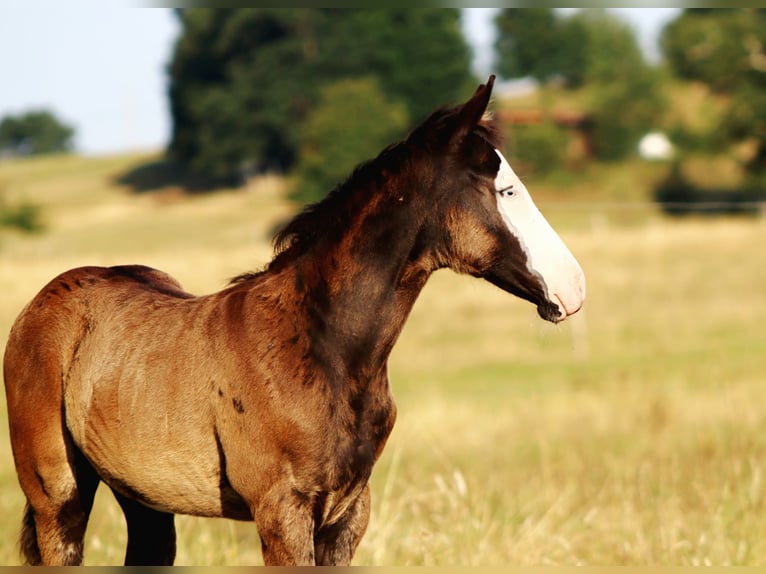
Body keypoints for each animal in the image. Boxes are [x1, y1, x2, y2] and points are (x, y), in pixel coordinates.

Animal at [3, 75, 585, 566]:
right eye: (505, 190)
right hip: (58, 493)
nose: (574, 289)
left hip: (144, 496)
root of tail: (40, 304)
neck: (320, 346)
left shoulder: (348, 514)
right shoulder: (282, 511)